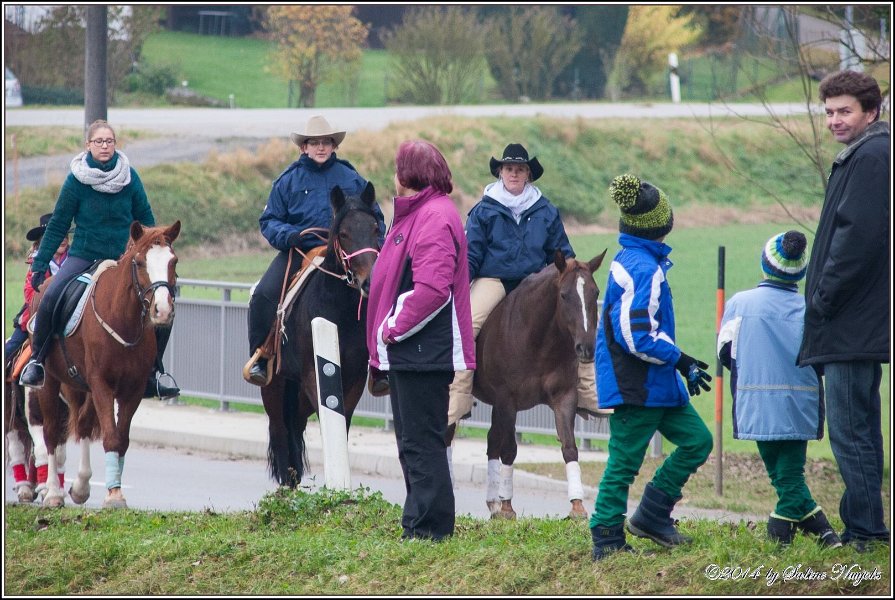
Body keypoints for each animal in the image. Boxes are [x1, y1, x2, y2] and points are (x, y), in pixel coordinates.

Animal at [262, 183, 382, 488]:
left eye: (375, 228)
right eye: (343, 233)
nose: (369, 282)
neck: (339, 310)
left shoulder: (353, 381)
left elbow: (342, 424)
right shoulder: (313, 377)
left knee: (294, 428)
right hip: (274, 388)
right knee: (280, 431)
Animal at [448, 248, 608, 520]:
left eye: (595, 293)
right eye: (564, 295)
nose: (586, 348)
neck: (539, 340)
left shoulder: (564, 398)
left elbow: (569, 447)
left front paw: (577, 505)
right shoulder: (507, 401)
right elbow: (510, 449)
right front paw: (507, 505)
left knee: (491, 441)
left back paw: (492, 501)